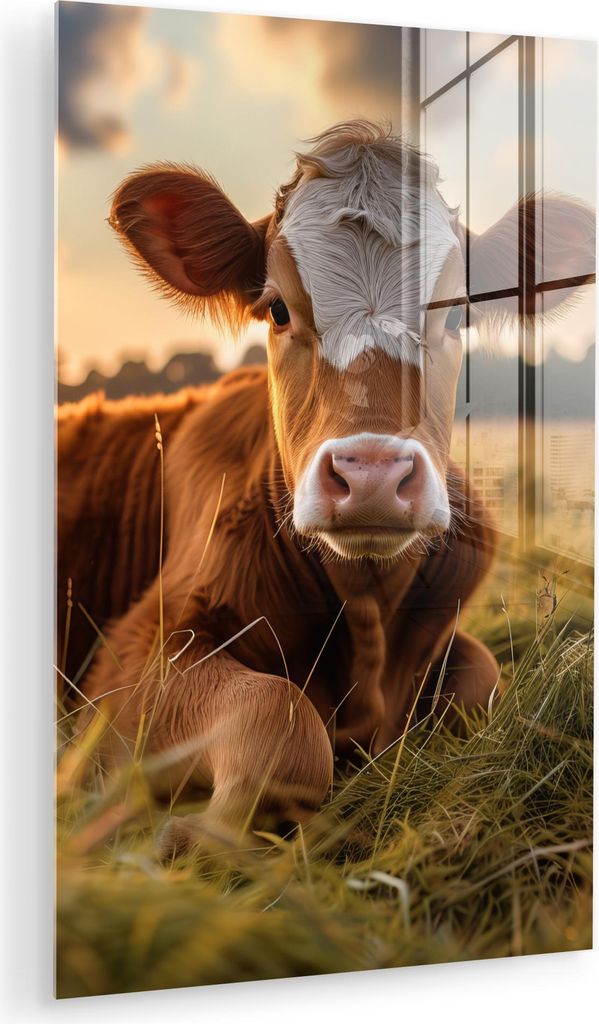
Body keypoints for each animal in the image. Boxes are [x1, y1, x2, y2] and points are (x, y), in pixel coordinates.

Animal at [57, 120, 594, 853]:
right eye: (277, 309)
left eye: (456, 315)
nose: (371, 474)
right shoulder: (130, 659)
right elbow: (279, 719)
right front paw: (187, 836)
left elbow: (482, 682)